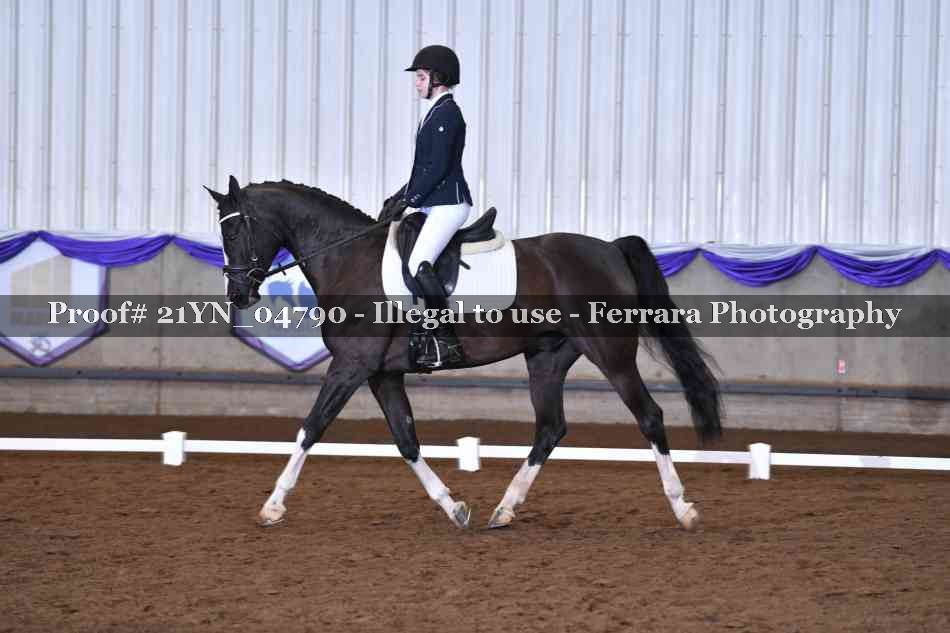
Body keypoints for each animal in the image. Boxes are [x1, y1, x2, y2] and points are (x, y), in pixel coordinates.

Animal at [205, 176, 722, 530]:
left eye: (233, 234)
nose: (238, 294)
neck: (347, 260)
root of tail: (611, 249)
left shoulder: (351, 367)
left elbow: (311, 428)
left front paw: (272, 506)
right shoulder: (381, 374)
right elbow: (407, 440)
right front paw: (453, 507)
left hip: (610, 353)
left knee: (649, 416)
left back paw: (683, 509)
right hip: (547, 357)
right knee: (550, 428)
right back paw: (504, 509)